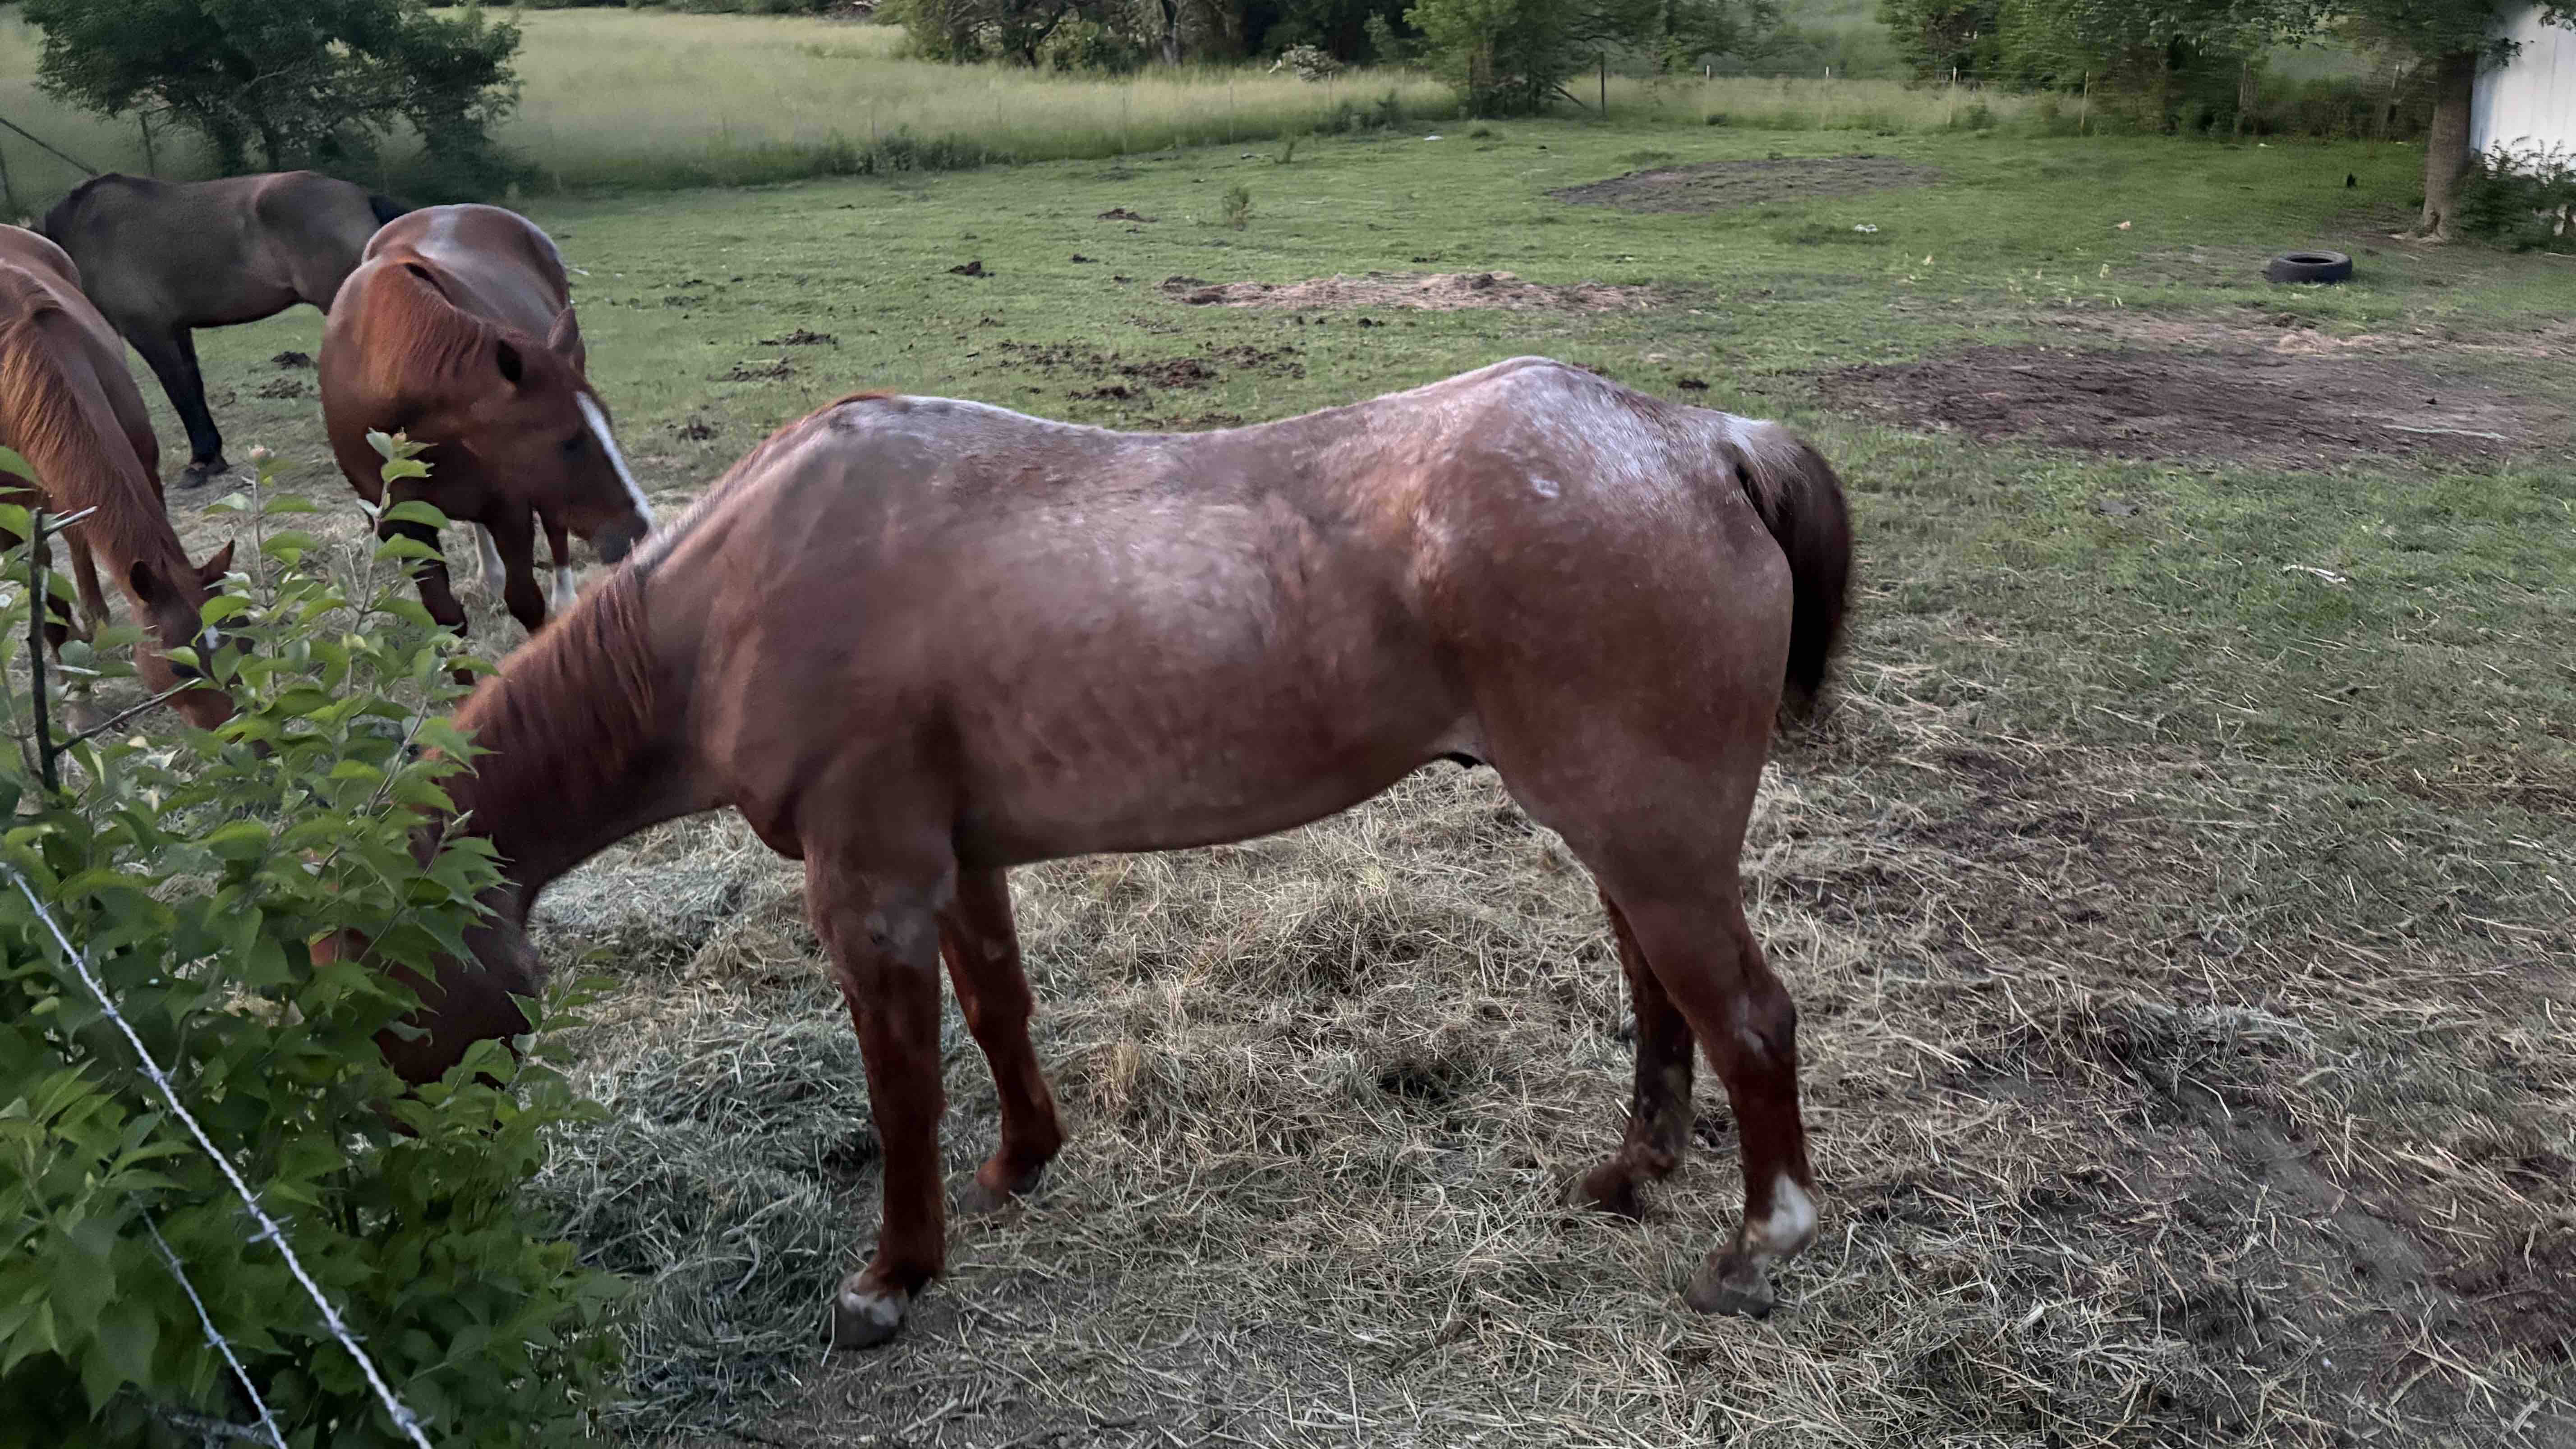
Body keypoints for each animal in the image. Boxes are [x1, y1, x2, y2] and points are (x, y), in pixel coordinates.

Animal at [0, 227, 235, 730]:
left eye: (241, 639)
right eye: (179, 668)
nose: (251, 735)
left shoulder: (143, 470)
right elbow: (45, 601)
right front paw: (78, 700)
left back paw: (96, 617)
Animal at [38, 171, 406, 488]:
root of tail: (359, 195)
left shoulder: (150, 332)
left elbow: (181, 393)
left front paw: (200, 462)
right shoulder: (177, 330)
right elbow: (193, 387)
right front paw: (212, 458)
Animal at [318, 205, 654, 638]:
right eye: (567, 442)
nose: (640, 530)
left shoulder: (510, 506)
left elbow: (527, 601)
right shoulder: (400, 522)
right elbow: (446, 616)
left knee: (555, 530)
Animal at [360, 358, 1852, 1348]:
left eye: (384, 995)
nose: (432, 1204)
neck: (739, 590)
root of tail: (1703, 442)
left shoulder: (866, 889)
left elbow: (903, 1085)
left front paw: (892, 1275)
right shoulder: (957, 861)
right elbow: (997, 1011)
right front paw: (1022, 1160)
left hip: (1653, 844)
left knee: (1748, 1017)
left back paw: (1756, 1245)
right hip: (1620, 842)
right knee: (1663, 1001)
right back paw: (1631, 1173)